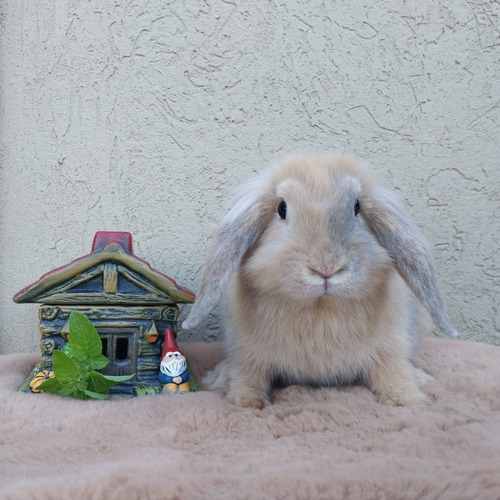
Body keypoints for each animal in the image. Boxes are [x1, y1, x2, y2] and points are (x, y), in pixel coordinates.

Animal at [184, 154, 458, 408]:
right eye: (282, 208)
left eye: (356, 207)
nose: (326, 268)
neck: (320, 306)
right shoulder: (247, 351)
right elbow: (248, 375)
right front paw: (247, 402)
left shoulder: (392, 345)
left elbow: (394, 373)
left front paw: (410, 401)